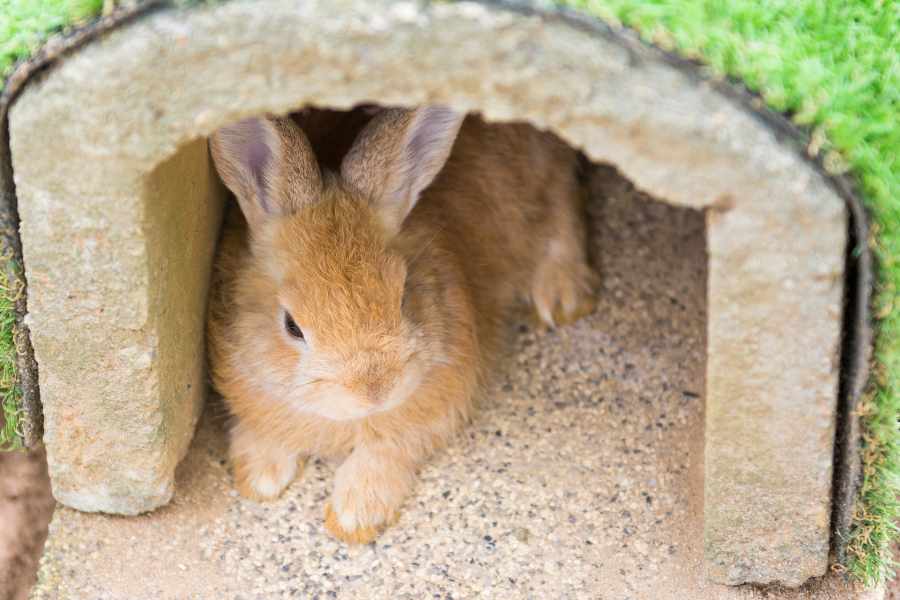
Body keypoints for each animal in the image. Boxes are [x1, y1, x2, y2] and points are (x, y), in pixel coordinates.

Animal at [206, 105, 599, 544]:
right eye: (292, 326)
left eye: (403, 295)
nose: (375, 390)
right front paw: (259, 478)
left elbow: (386, 451)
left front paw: (353, 516)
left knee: (564, 204)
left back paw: (562, 296)